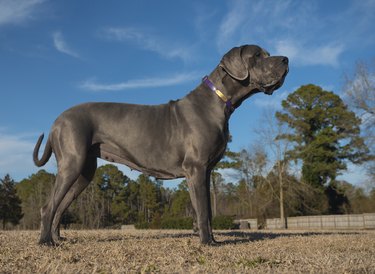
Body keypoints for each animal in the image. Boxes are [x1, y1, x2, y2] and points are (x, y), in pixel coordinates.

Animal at [33, 45, 290, 246]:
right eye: (257, 55)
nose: (286, 59)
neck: (218, 100)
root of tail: (57, 120)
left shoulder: (205, 172)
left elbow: (205, 210)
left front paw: (210, 239)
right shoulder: (196, 168)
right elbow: (202, 210)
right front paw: (207, 242)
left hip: (85, 171)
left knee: (60, 206)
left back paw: (57, 238)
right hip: (72, 163)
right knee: (48, 207)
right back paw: (46, 242)